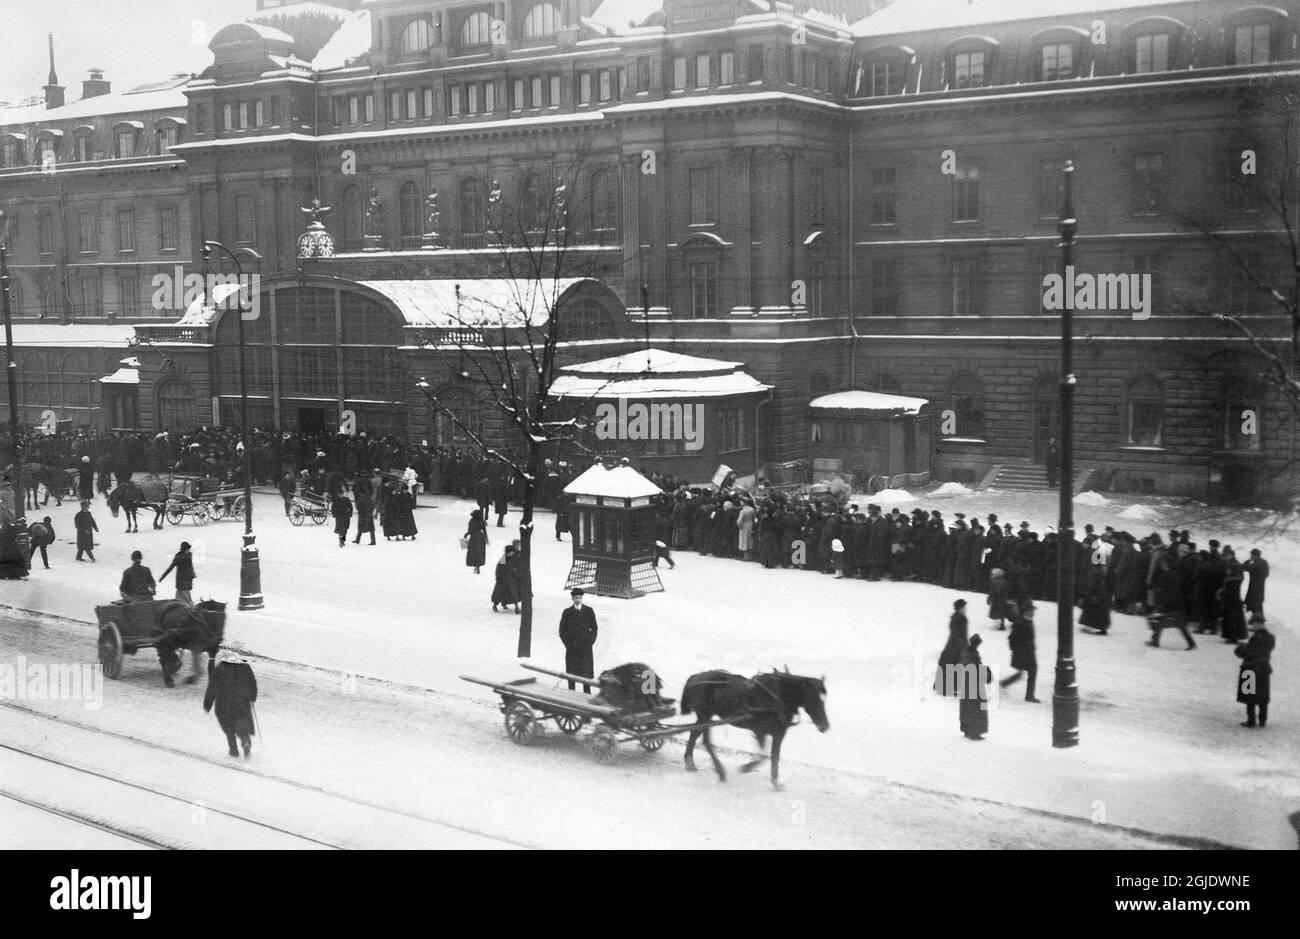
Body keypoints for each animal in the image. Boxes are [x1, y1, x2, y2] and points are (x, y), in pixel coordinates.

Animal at [676, 665, 826, 790]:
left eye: (824, 698)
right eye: (814, 698)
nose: (825, 725)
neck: (777, 697)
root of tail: (696, 676)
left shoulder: (776, 734)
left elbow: (773, 756)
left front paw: (775, 783)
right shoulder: (759, 731)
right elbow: (764, 756)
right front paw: (746, 768)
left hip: (705, 717)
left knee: (695, 733)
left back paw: (691, 762)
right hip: (705, 715)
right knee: (705, 740)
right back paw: (719, 771)